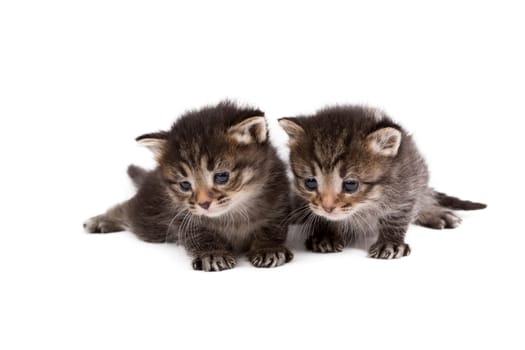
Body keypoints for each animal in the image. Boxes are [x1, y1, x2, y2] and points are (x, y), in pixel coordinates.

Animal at [84, 101, 292, 270]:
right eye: (185, 185)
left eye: (222, 177)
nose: (204, 204)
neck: (233, 213)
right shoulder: (182, 214)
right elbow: (198, 233)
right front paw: (212, 253)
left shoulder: (279, 200)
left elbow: (272, 228)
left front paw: (268, 248)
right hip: (149, 219)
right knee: (126, 210)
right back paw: (100, 220)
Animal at [280, 105, 486, 258]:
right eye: (310, 183)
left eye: (351, 184)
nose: (328, 207)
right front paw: (326, 234)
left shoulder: (406, 184)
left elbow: (399, 214)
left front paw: (390, 243)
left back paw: (435, 213)